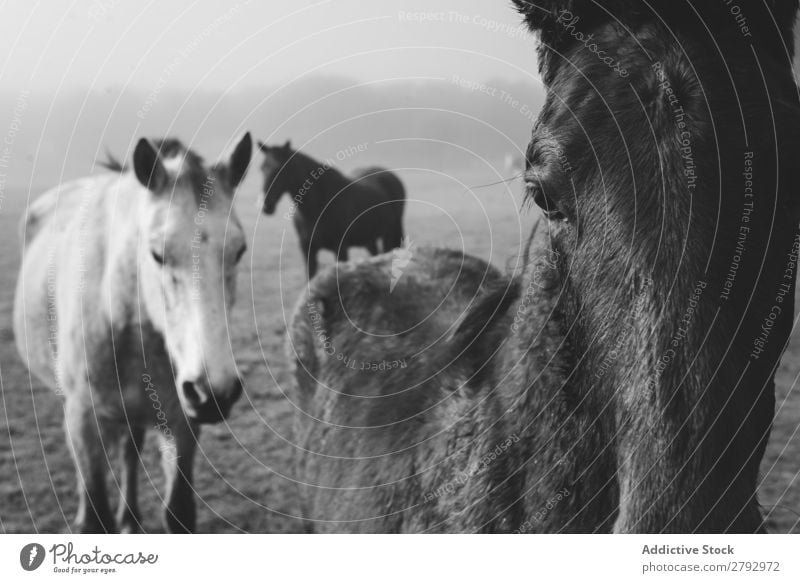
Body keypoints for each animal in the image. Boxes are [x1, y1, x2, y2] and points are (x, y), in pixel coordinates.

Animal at [14, 133, 253, 532]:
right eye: (157, 254)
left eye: (239, 250)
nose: (214, 393)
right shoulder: (84, 418)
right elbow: (96, 513)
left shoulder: (182, 422)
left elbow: (178, 511)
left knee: (130, 450)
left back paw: (130, 517)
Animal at [258, 140, 404, 280]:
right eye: (262, 168)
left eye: (281, 168)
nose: (266, 206)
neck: (317, 207)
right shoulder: (308, 250)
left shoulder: (340, 248)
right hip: (369, 238)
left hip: (390, 233)